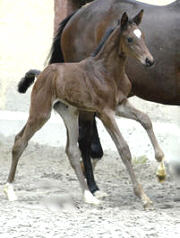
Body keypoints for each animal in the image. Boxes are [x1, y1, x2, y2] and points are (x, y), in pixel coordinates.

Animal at [3, 10, 166, 208]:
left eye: (142, 36)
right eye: (129, 39)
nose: (149, 61)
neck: (108, 72)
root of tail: (41, 74)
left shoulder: (120, 105)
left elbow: (145, 119)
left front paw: (160, 164)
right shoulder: (105, 112)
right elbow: (123, 148)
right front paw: (143, 196)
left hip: (70, 113)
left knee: (72, 151)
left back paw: (89, 196)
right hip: (41, 112)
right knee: (20, 141)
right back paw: (10, 190)